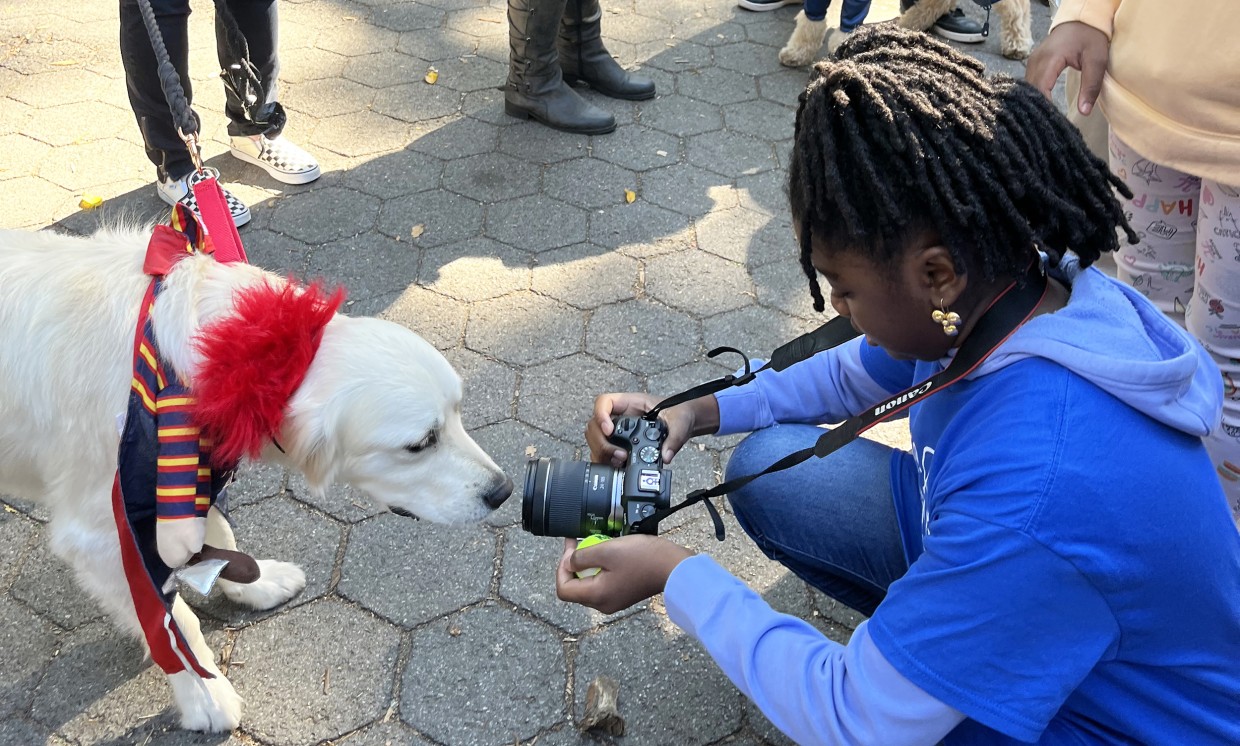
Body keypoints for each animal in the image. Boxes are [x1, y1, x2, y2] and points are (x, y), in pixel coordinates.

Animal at [0, 223, 513, 728]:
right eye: (420, 443)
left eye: (458, 413)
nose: (504, 491)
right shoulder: (106, 535)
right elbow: (175, 626)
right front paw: (205, 697)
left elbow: (217, 539)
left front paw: (255, 583)